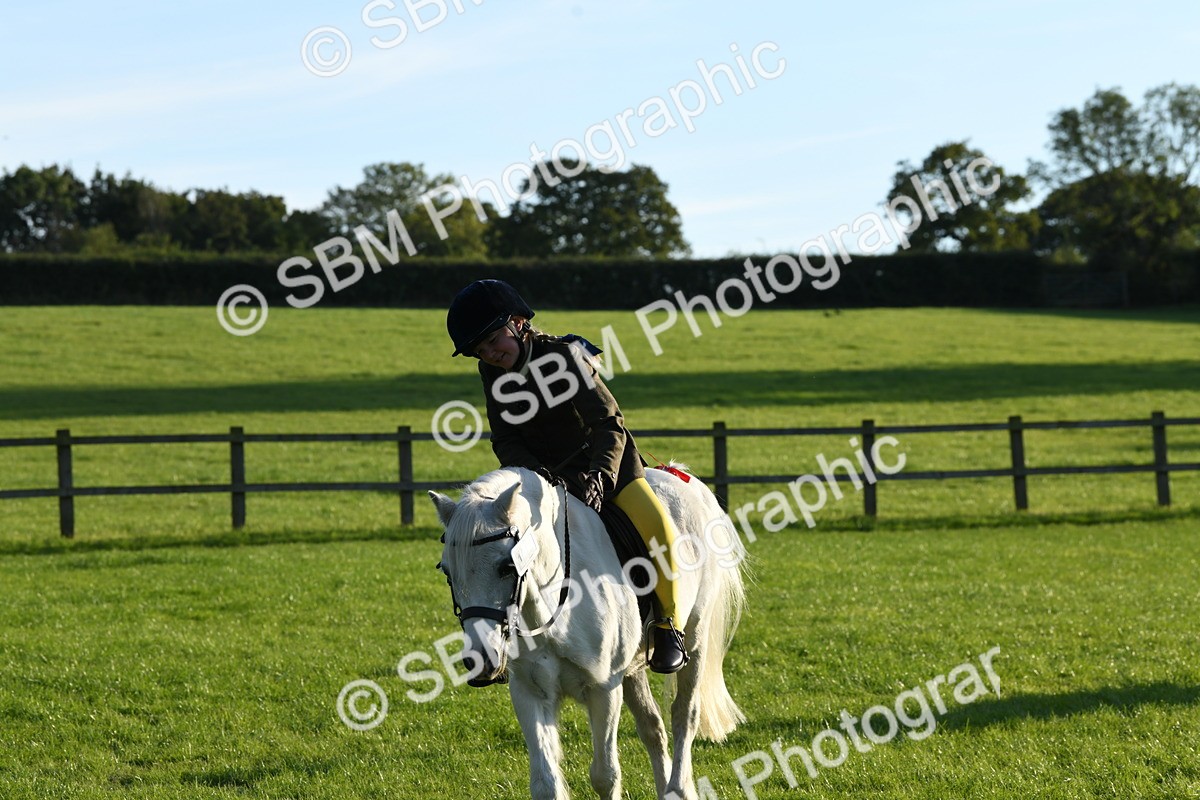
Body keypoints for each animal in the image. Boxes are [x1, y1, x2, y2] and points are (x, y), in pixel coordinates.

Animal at [429, 464, 747, 800]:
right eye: (447, 571)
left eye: (506, 567)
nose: (481, 660)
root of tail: (682, 477)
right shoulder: (529, 692)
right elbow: (546, 784)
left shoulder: (603, 689)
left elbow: (605, 775)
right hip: (632, 668)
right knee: (653, 727)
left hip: (695, 638)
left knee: (684, 715)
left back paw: (679, 787)